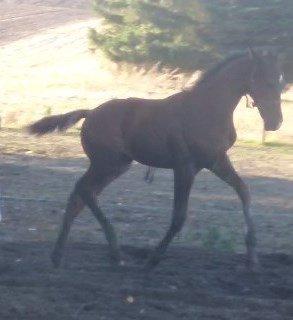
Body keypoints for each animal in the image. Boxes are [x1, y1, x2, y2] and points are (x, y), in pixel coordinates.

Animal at [28, 49, 284, 270]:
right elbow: (179, 216)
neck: (206, 109)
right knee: (84, 191)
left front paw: (252, 256)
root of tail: (90, 113)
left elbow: (244, 192)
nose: (276, 122)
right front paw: (154, 258)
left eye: (279, 81)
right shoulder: (185, 167)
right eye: (267, 81)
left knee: (79, 196)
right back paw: (116, 253)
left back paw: (59, 255)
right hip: (107, 164)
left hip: (115, 166)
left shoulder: (215, 161)